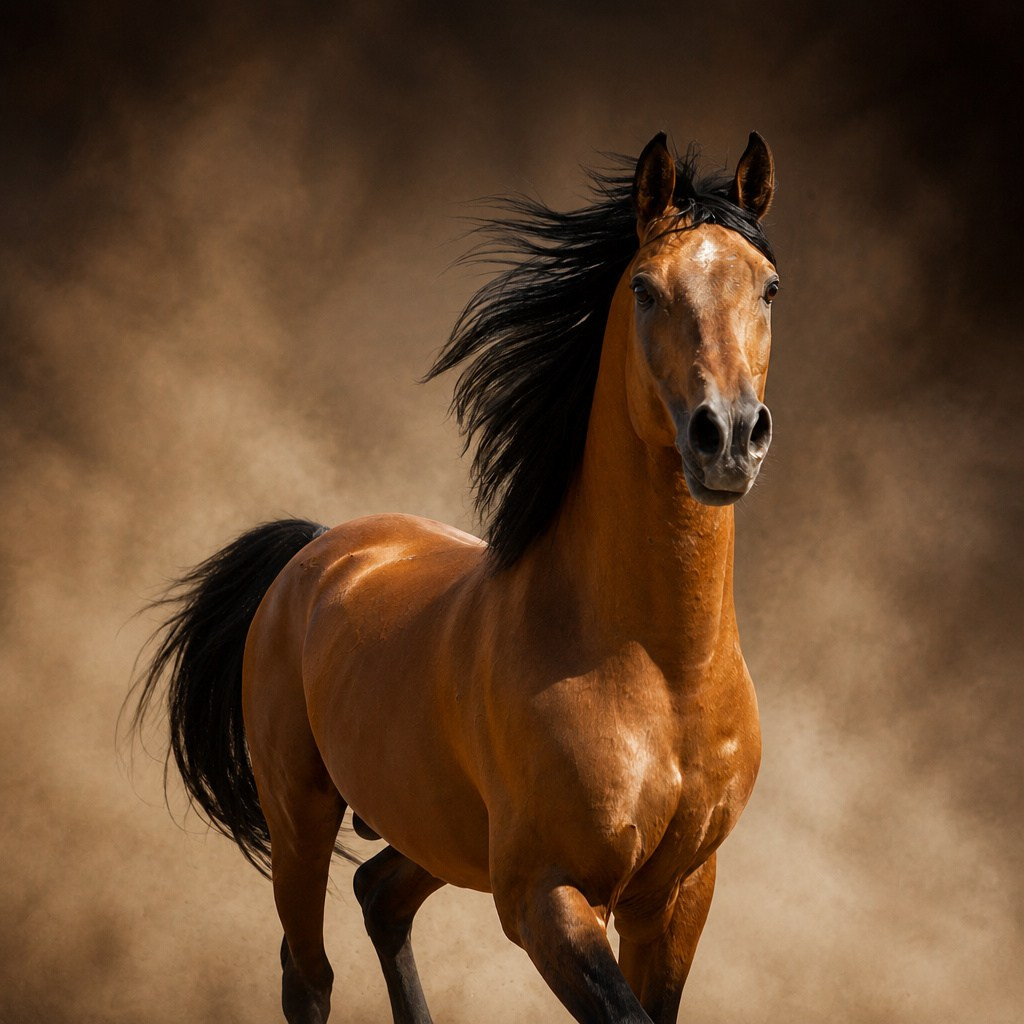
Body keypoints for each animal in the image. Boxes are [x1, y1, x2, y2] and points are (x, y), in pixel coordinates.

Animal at [129, 130, 779, 1024]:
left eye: (770, 287)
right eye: (645, 289)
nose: (730, 437)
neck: (659, 672)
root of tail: (319, 547)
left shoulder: (678, 897)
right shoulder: (544, 897)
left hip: (435, 829)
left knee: (379, 895)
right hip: (299, 816)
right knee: (308, 973)